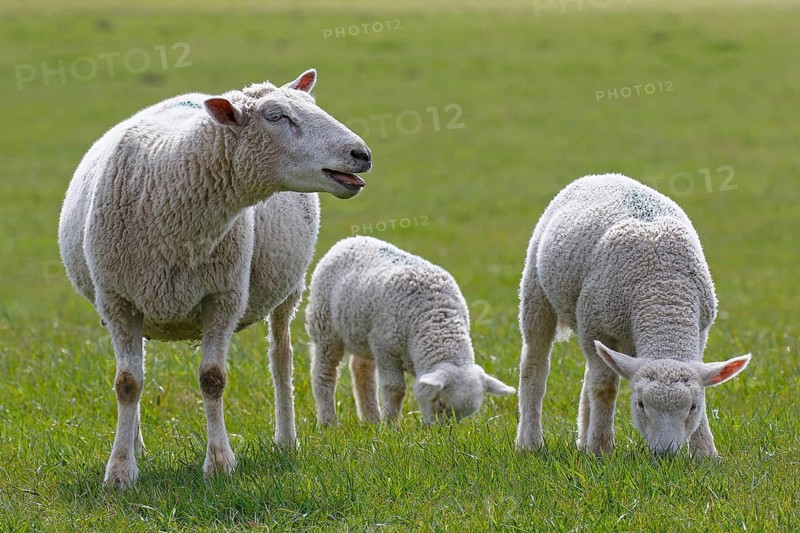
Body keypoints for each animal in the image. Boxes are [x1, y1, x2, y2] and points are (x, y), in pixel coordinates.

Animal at [57, 69, 372, 490]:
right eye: (276, 117)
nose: (362, 155)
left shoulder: (224, 296)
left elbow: (212, 379)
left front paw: (220, 462)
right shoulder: (117, 300)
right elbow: (127, 383)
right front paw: (121, 470)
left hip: (289, 290)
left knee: (282, 359)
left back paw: (286, 440)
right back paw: (137, 444)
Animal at [305, 236, 515, 426]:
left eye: (464, 416)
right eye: (440, 403)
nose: (441, 433)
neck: (436, 321)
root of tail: (349, 240)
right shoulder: (385, 349)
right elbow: (395, 389)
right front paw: (391, 427)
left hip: (361, 332)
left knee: (360, 369)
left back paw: (371, 419)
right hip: (325, 327)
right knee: (324, 373)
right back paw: (329, 423)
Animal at [515, 173, 751, 457]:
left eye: (693, 407)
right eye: (640, 404)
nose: (665, 454)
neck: (663, 298)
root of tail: (602, 176)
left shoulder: (701, 331)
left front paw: (705, 453)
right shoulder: (595, 324)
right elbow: (605, 388)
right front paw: (601, 449)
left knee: (589, 373)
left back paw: (582, 439)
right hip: (536, 291)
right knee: (535, 366)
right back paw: (530, 443)